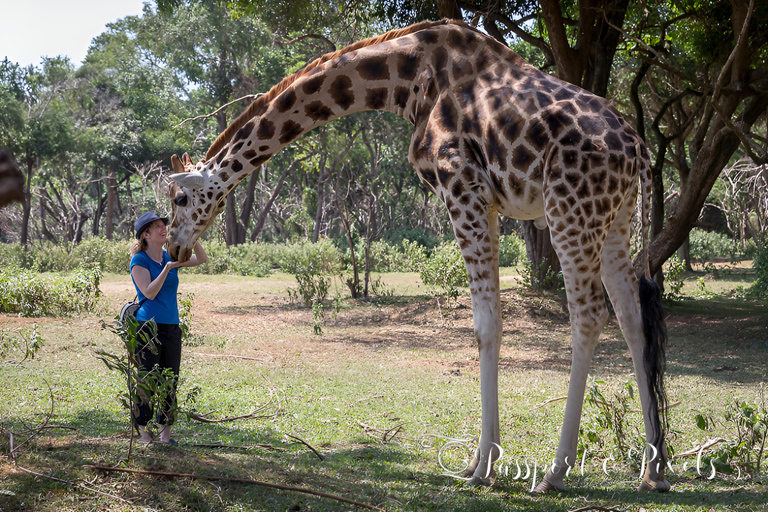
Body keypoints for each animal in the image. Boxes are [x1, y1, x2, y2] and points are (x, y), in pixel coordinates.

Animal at [165, 19, 668, 492]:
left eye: (180, 198)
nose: (172, 246)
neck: (409, 80)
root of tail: (639, 150)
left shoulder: (462, 187)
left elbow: (485, 323)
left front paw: (482, 467)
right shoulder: (484, 201)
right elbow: (493, 320)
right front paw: (478, 460)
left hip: (570, 210)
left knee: (589, 314)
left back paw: (555, 473)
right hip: (615, 219)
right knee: (631, 316)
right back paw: (654, 470)